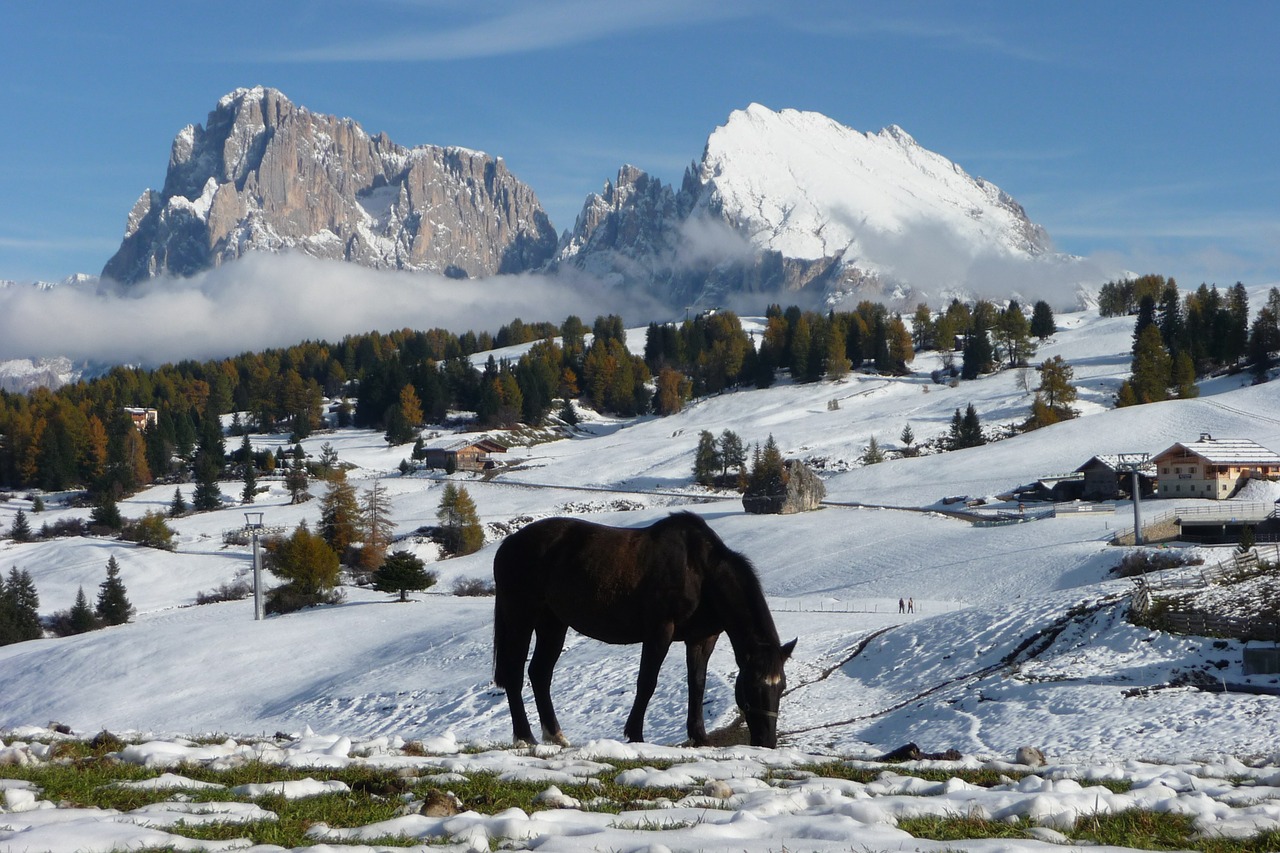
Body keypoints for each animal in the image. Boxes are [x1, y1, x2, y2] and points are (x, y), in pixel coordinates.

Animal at [488, 512, 788, 742]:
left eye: (782, 686)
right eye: (752, 685)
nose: (767, 742)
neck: (699, 572)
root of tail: (509, 543)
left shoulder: (702, 639)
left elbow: (697, 684)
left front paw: (699, 736)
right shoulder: (660, 631)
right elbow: (647, 682)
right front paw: (635, 735)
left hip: (553, 623)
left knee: (539, 674)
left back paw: (556, 736)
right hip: (520, 618)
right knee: (514, 675)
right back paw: (525, 737)